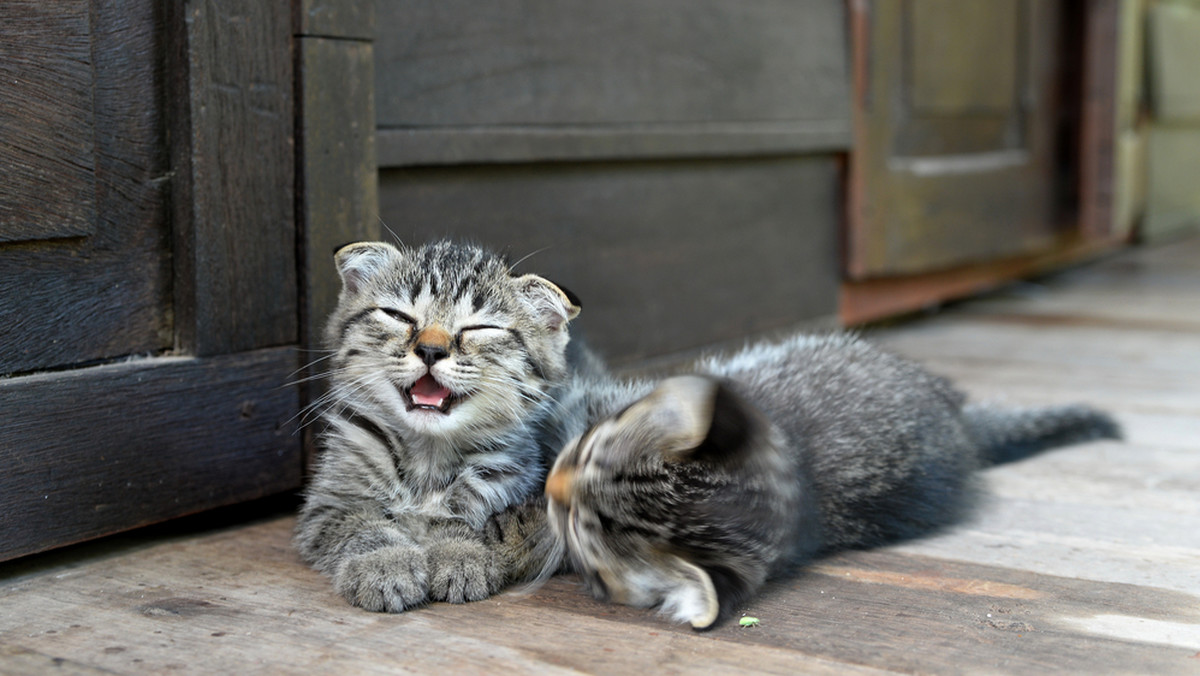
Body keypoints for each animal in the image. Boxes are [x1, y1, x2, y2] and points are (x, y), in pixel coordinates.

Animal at [295, 240, 585, 609]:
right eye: (398, 316)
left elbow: (467, 522)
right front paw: (386, 564)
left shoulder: (508, 487)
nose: (430, 350)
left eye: (480, 328)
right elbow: (363, 526)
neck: (427, 457)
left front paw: (459, 553)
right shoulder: (328, 503)